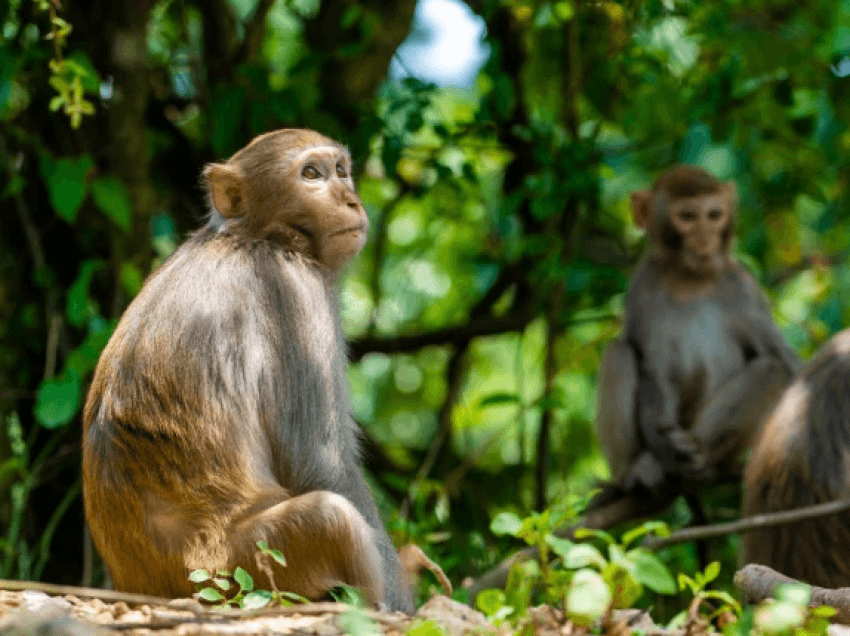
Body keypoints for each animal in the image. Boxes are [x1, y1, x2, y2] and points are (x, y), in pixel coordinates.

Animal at [82, 128, 410, 612]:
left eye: (341, 170)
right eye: (311, 174)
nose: (351, 199)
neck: (254, 236)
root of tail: (142, 587)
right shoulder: (296, 290)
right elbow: (321, 462)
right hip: (242, 567)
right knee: (331, 518)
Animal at [592, 163, 800, 492]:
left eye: (713, 215)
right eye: (688, 216)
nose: (705, 239)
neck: (689, 279)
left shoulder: (741, 287)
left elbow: (784, 361)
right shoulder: (643, 289)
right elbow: (653, 369)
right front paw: (661, 450)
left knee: (771, 369)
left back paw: (698, 452)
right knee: (617, 353)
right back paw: (637, 468)